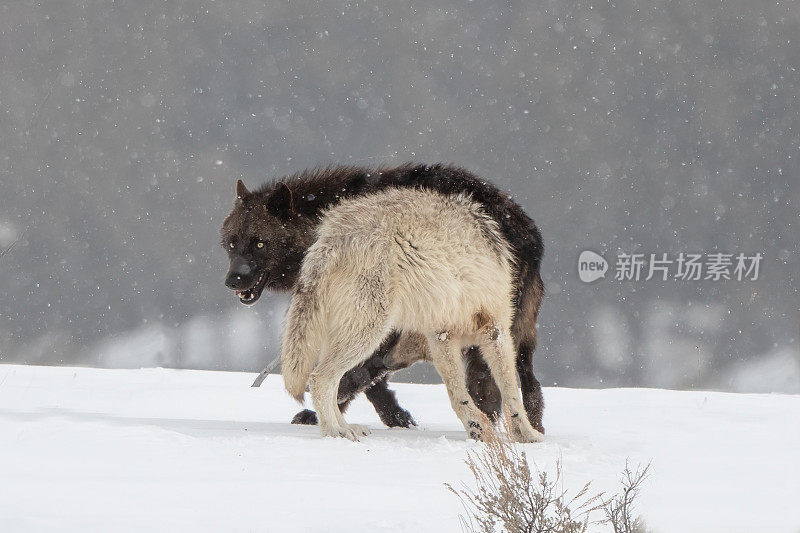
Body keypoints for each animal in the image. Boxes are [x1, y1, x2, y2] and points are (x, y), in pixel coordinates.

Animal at [219, 165, 544, 432]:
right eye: (231, 244)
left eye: (259, 243)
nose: (233, 280)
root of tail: (530, 233)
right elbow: (371, 380)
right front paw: (393, 416)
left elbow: (366, 378)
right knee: (526, 383)